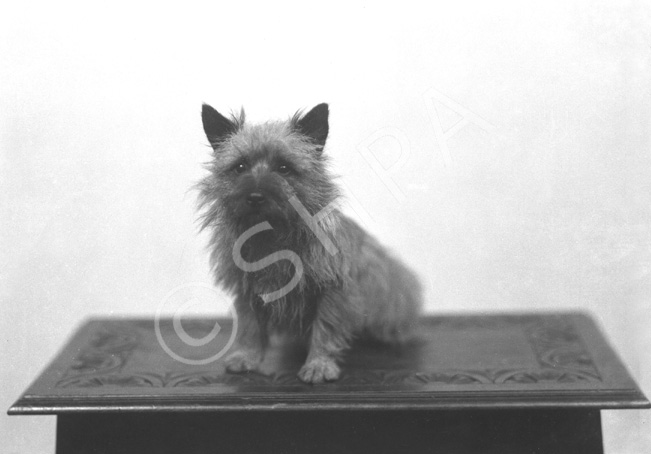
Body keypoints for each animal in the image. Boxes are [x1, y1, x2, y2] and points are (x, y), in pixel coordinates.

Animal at [197, 103, 422, 384]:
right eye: (240, 166)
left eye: (284, 168)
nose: (256, 197)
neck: (273, 238)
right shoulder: (249, 291)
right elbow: (251, 327)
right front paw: (246, 357)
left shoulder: (332, 292)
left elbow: (325, 329)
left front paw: (319, 365)